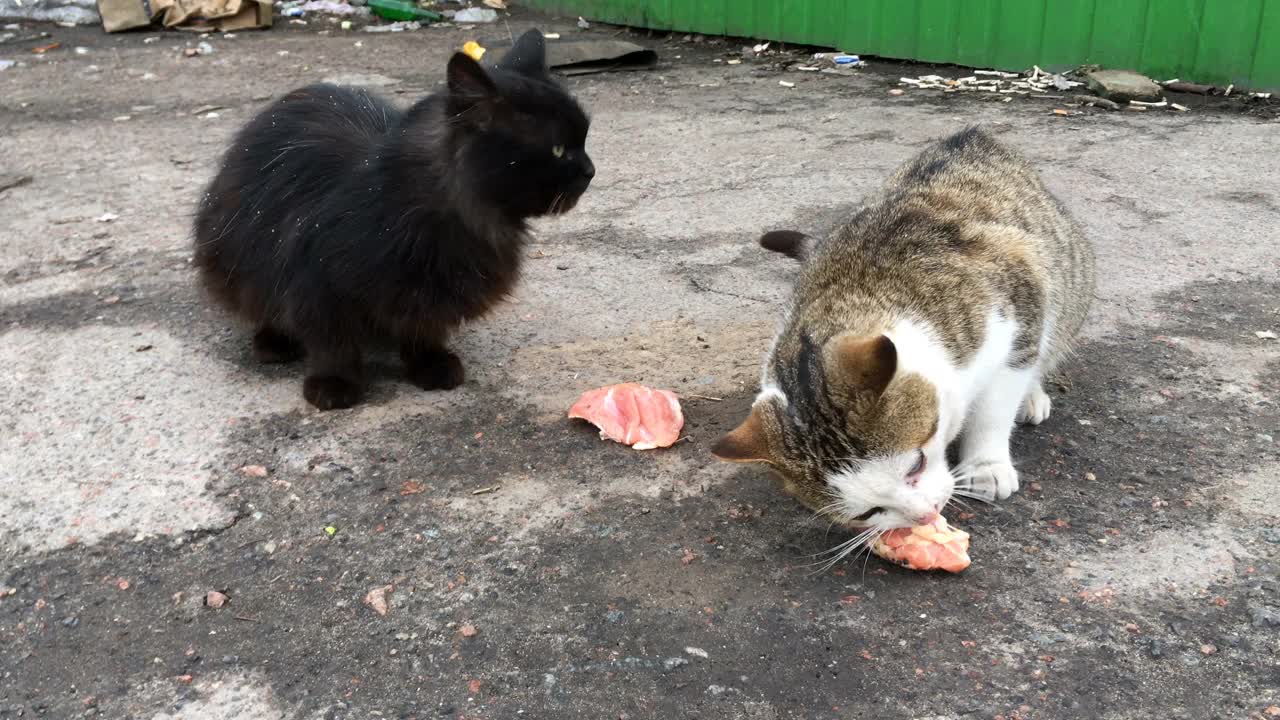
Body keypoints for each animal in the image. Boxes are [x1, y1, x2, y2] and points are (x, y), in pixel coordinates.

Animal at [192, 30, 591, 409]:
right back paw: (274, 344)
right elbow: (331, 344)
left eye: (584, 140)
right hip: (236, 262)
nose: (591, 170)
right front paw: (334, 384)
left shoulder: (431, 292)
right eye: (558, 149)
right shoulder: (318, 288)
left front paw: (430, 364)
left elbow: (424, 329)